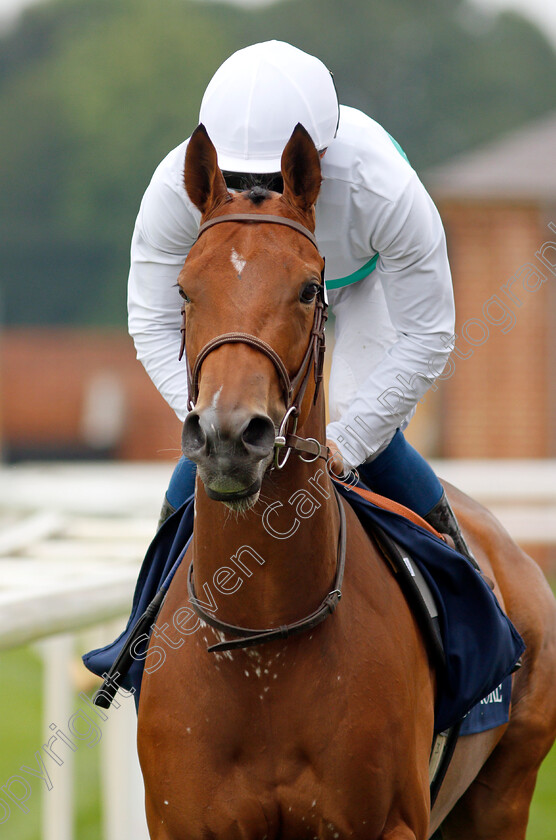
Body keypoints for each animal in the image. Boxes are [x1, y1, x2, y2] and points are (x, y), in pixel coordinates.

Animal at [137, 121, 556, 836]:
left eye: (309, 288)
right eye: (185, 290)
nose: (227, 436)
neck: (262, 640)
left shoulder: (388, 822)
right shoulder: (181, 822)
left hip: (505, 790)